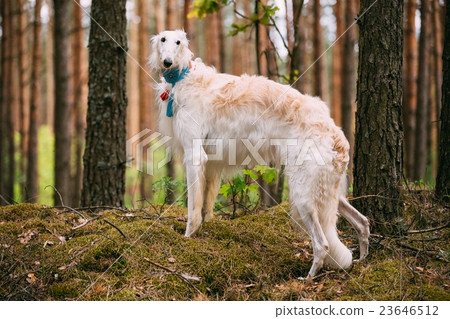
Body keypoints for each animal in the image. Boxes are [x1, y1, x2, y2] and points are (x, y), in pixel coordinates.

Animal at [150, 29, 370, 280]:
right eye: (163, 40)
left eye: (178, 42)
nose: (167, 62)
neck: (184, 78)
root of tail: (336, 133)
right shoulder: (211, 163)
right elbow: (205, 206)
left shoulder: (195, 154)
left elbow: (193, 210)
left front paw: (187, 237)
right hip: (329, 192)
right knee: (363, 222)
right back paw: (362, 261)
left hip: (304, 194)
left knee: (322, 244)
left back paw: (307, 278)